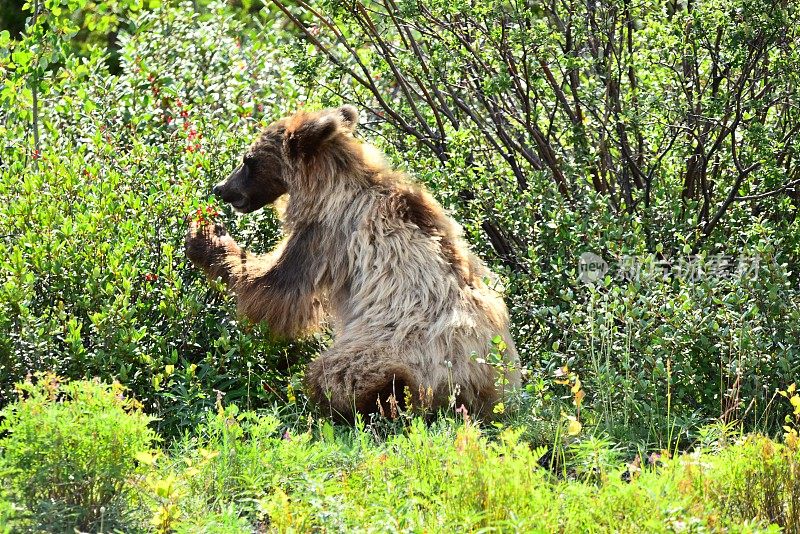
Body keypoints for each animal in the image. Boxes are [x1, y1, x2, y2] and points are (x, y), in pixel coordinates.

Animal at [188, 105, 524, 422]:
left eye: (248, 159)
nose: (221, 188)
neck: (329, 185)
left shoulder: (324, 234)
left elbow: (274, 290)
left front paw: (204, 235)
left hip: (401, 344)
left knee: (340, 371)